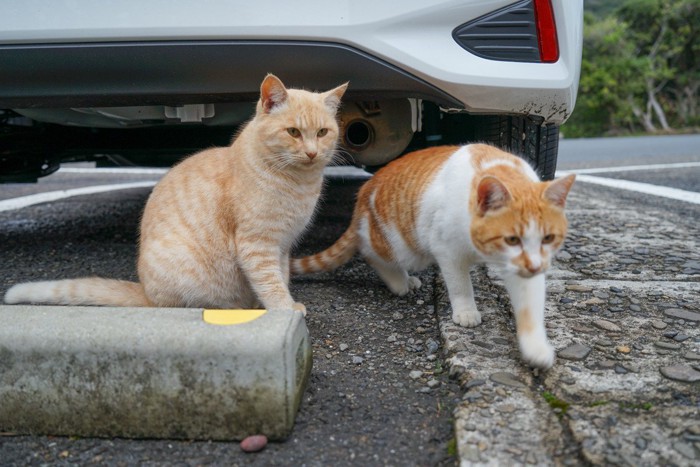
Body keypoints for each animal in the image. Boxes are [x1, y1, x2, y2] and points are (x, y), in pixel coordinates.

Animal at [2, 74, 348, 314]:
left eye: (322, 132)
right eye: (293, 132)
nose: (312, 152)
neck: (299, 184)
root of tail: (144, 291)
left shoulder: (283, 246)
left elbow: (282, 275)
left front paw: (282, 303)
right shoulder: (258, 244)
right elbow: (270, 281)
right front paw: (283, 308)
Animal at [292, 144, 576, 368]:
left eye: (548, 238)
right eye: (512, 239)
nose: (535, 266)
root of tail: (363, 193)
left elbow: (530, 305)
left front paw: (535, 347)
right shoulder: (447, 250)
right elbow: (460, 285)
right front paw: (466, 311)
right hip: (404, 246)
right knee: (370, 252)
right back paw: (399, 282)